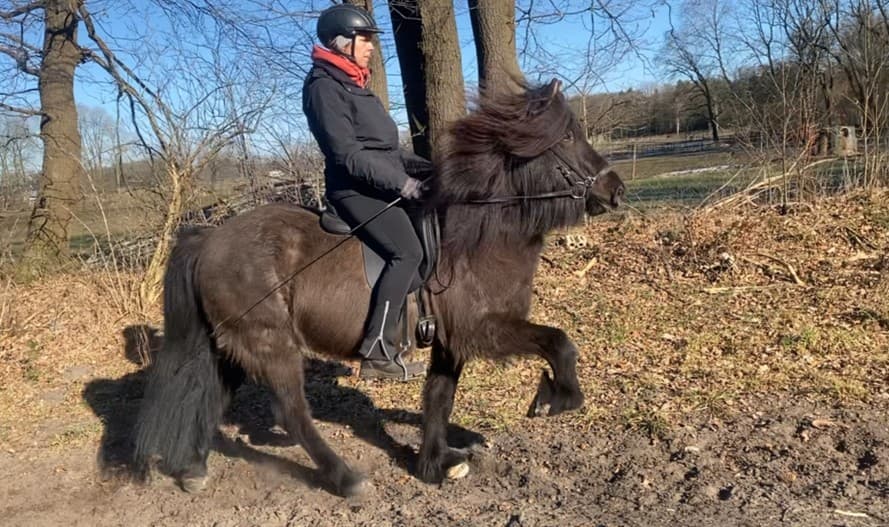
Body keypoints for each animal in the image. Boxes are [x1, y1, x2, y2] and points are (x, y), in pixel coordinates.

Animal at [133, 78, 625, 497]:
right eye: (567, 137)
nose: (616, 191)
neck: (477, 236)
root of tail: (210, 238)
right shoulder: (483, 328)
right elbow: (559, 341)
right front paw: (556, 398)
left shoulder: (450, 340)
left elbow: (439, 398)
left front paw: (434, 464)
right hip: (270, 344)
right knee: (291, 412)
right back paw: (345, 478)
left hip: (234, 345)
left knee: (212, 398)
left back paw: (194, 469)